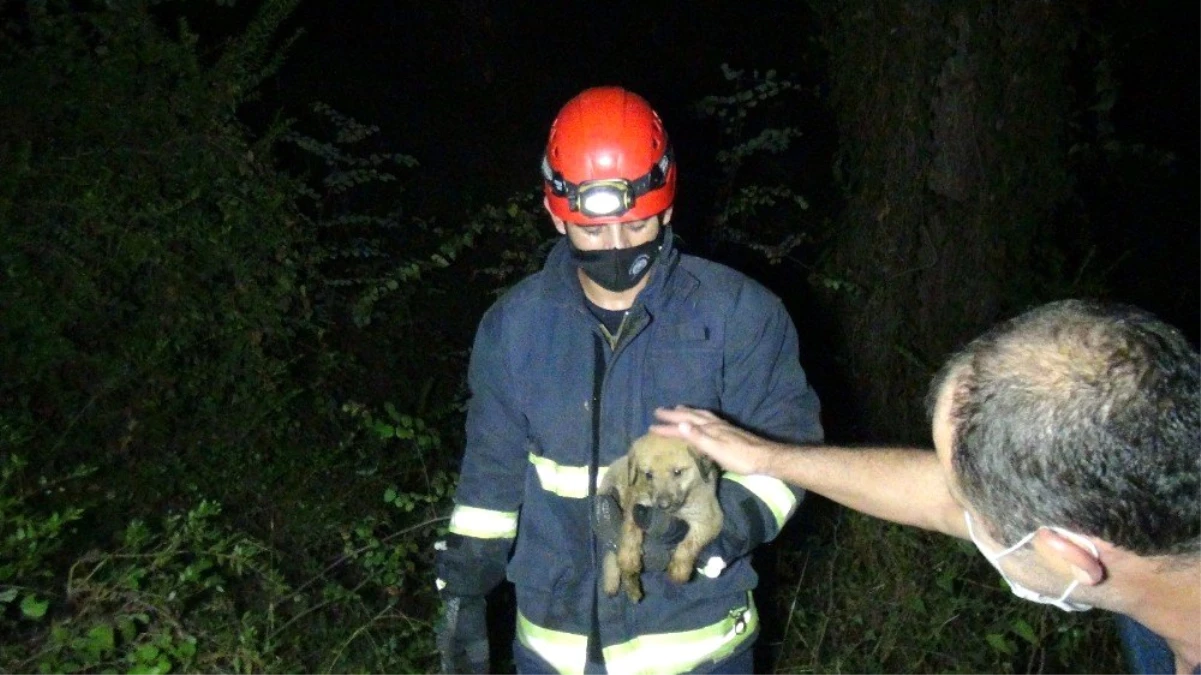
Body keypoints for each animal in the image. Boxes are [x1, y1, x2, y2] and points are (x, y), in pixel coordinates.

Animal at [600, 432, 720, 600]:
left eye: (677, 472)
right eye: (649, 475)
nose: (662, 505)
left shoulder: (708, 519)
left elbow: (689, 544)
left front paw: (679, 570)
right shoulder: (637, 505)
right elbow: (630, 531)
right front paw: (629, 558)